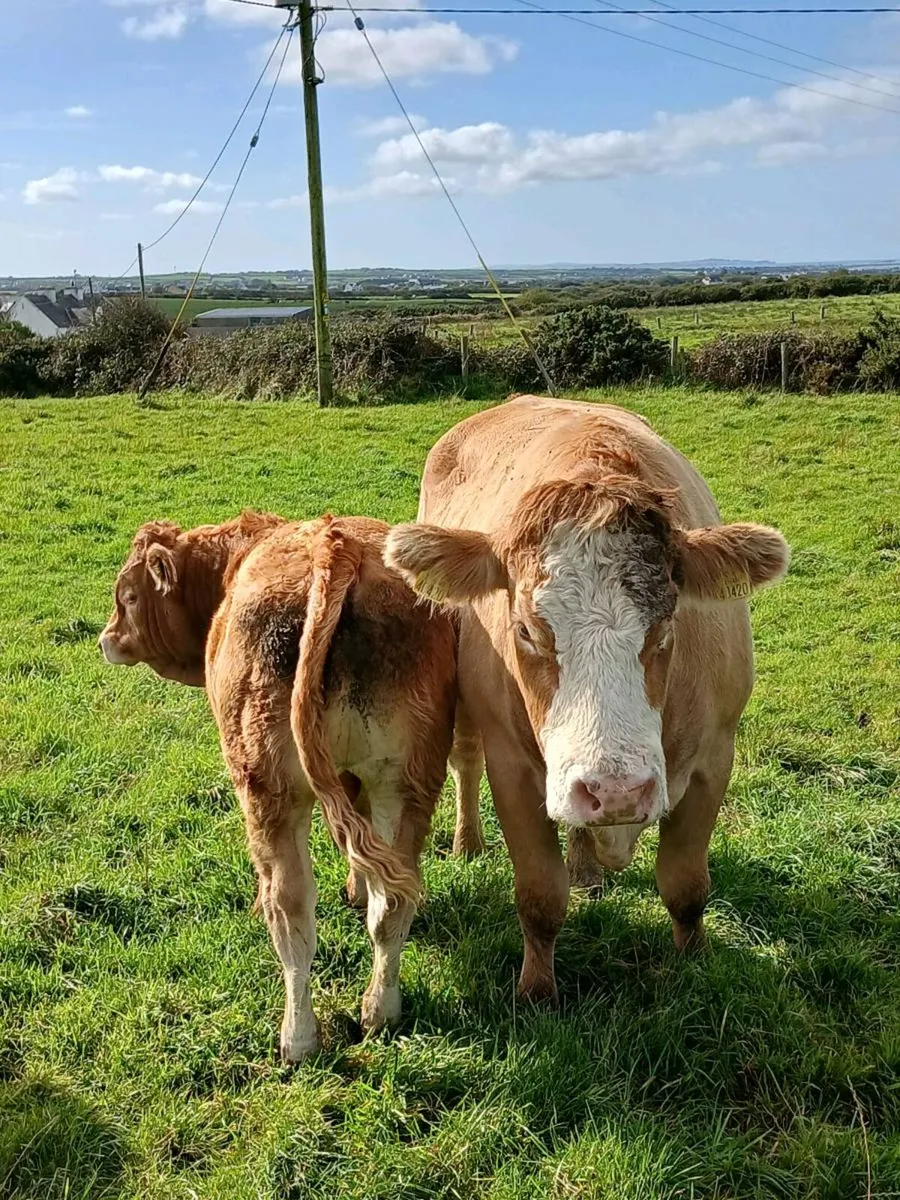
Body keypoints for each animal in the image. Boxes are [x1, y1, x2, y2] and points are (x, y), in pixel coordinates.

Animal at [100, 512, 457, 1060]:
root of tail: (336, 547)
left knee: (289, 908)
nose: (106, 638)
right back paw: (380, 1012)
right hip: (406, 781)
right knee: (393, 901)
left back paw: (299, 1038)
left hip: (268, 786)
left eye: (129, 596)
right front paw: (356, 888)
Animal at [385, 395, 789, 1001]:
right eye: (526, 631)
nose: (614, 791)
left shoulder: (716, 755)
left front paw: (695, 961)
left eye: (666, 626)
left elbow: (686, 883)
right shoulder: (511, 764)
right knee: (465, 760)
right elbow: (539, 895)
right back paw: (468, 841)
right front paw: (536, 989)